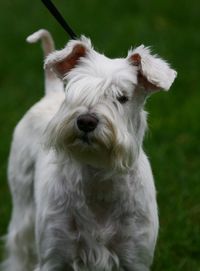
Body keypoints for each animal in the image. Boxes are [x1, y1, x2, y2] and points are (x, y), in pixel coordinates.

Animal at [1, 29, 177, 271]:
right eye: (73, 90)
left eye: (122, 97)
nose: (86, 121)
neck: (98, 176)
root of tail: (50, 93)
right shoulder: (54, 256)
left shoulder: (134, 257)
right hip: (23, 204)